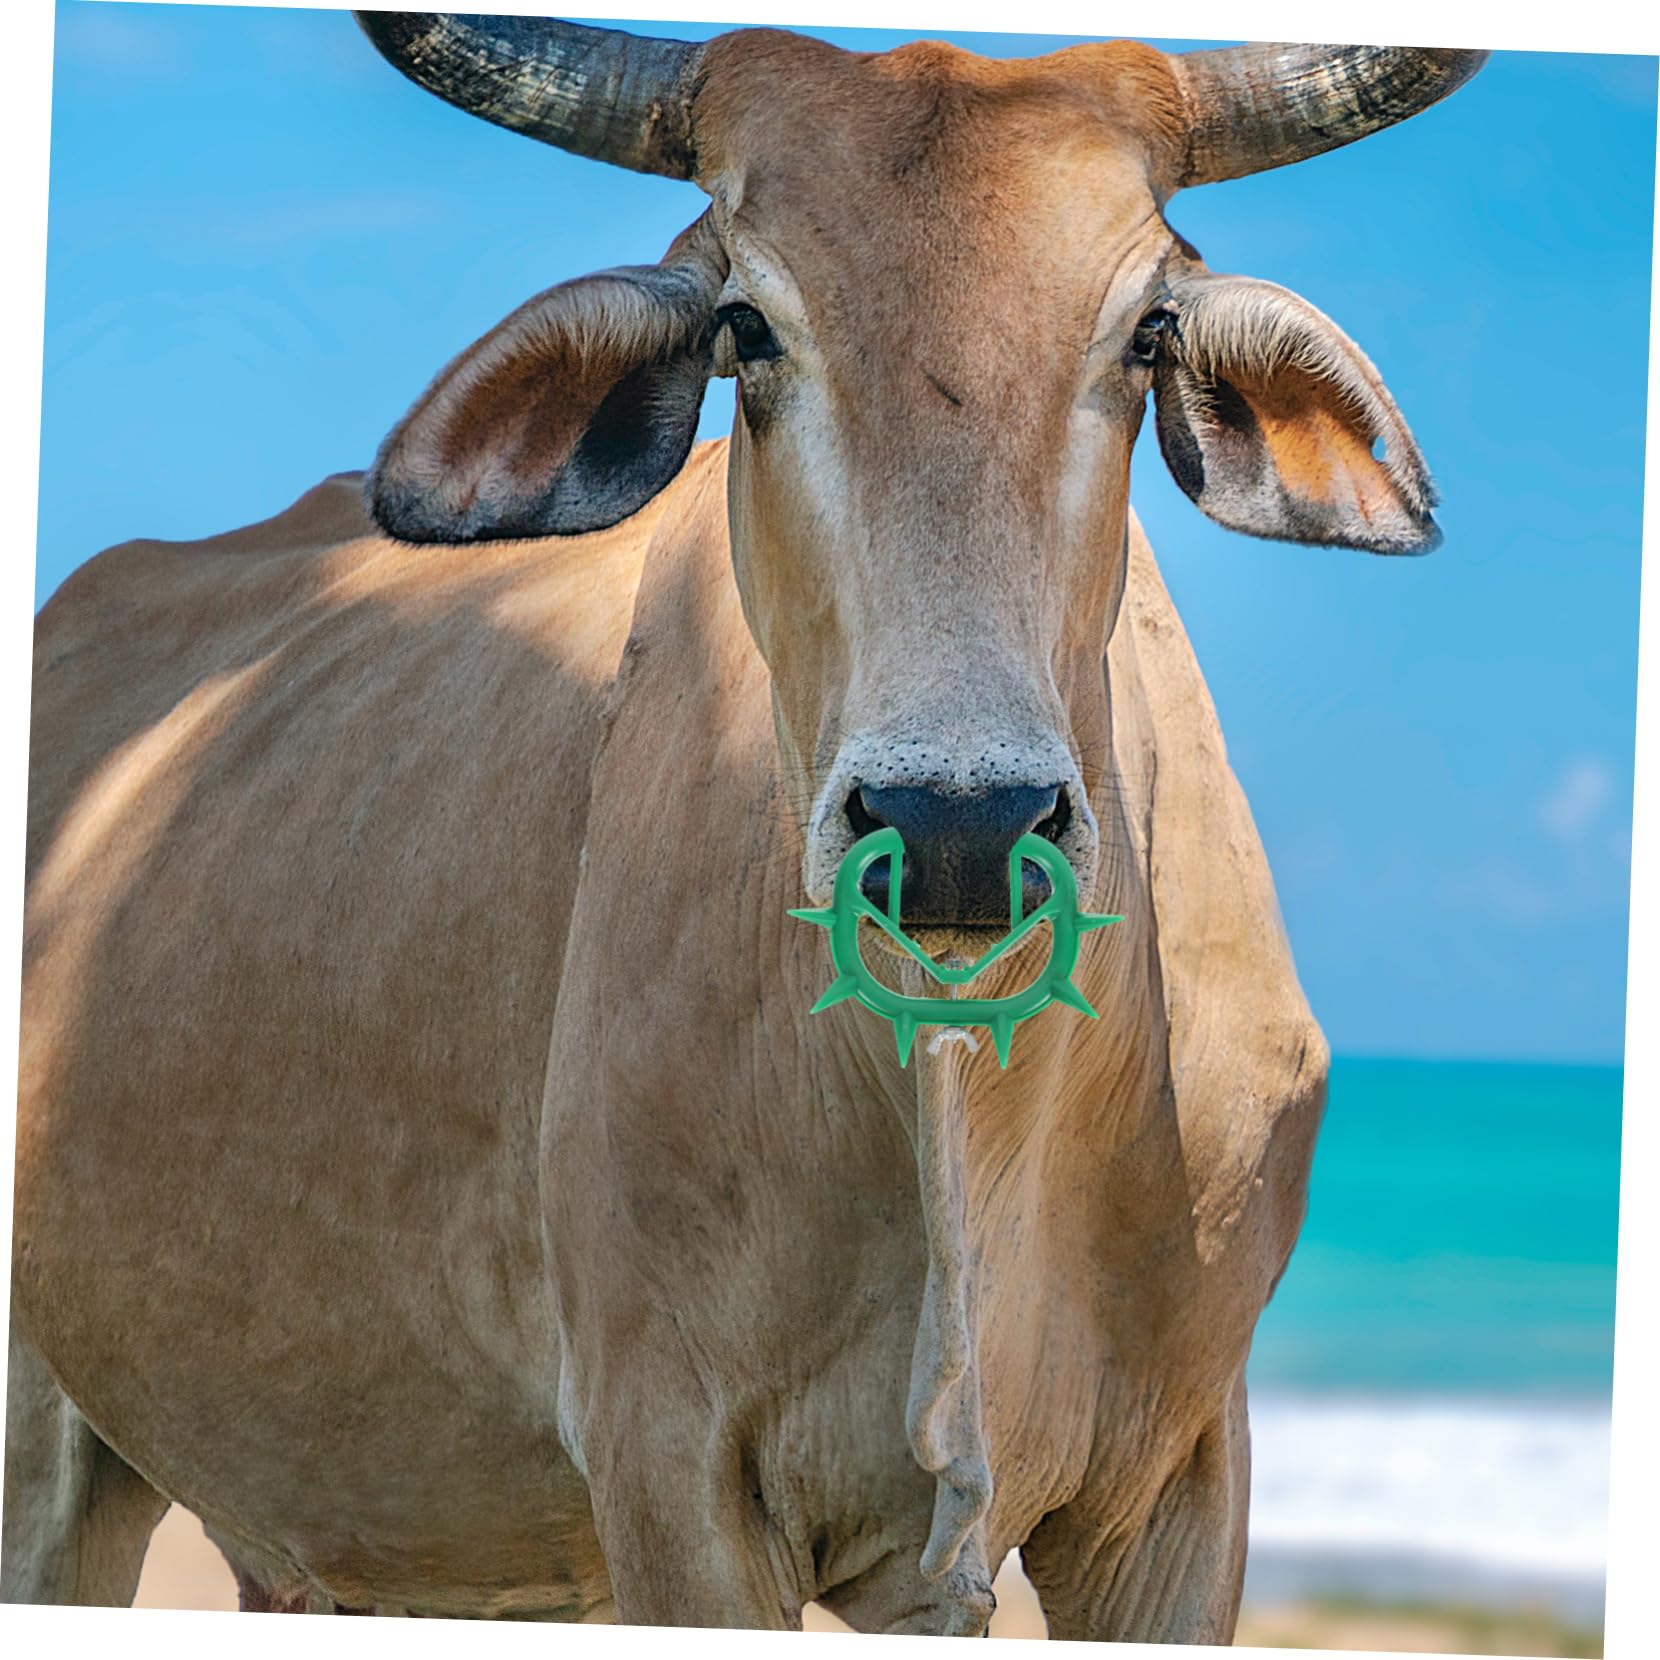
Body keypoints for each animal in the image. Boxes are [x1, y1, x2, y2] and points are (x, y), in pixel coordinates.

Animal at [4, 11, 1485, 1640]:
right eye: (748, 328)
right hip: (49, 1455)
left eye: (1149, 331)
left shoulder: (1176, 1491)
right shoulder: (673, 1472)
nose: (957, 826)